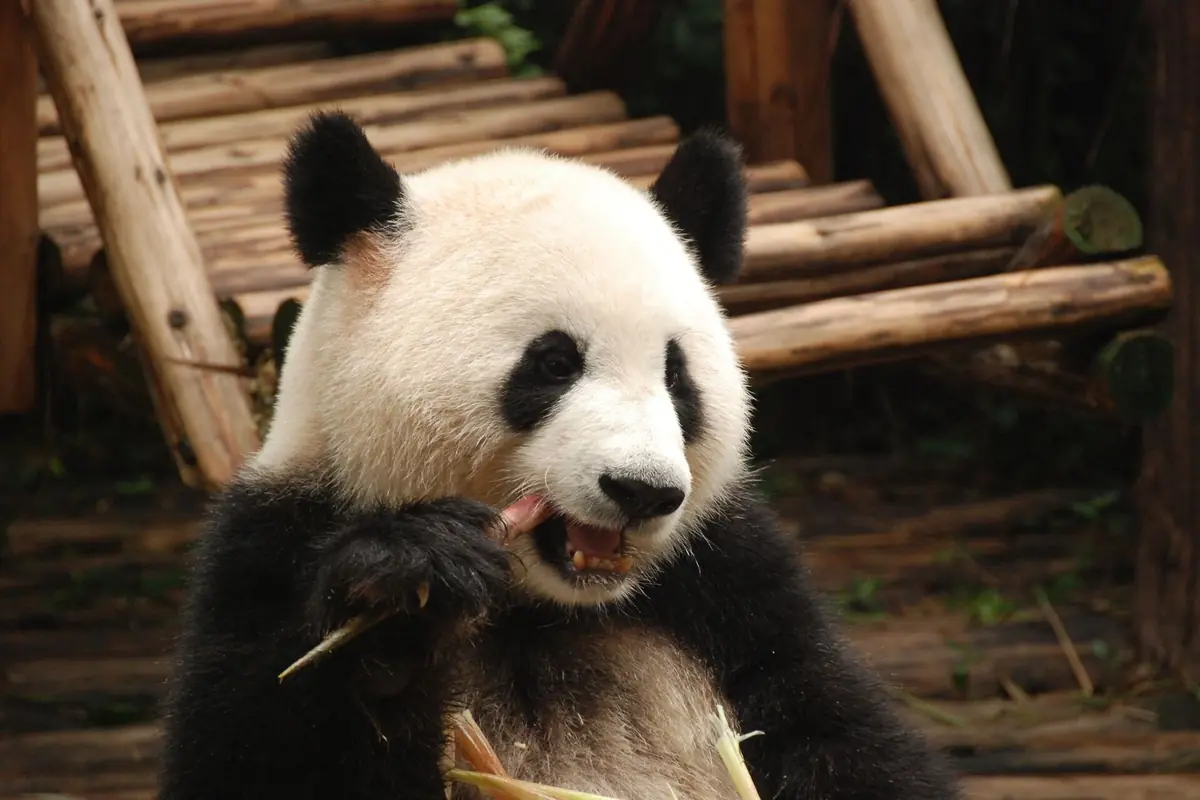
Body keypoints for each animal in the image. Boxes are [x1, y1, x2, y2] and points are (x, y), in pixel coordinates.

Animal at [158, 110, 961, 800]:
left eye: (677, 375)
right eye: (552, 363)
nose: (642, 490)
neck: (541, 610)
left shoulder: (732, 588)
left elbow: (841, 735)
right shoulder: (271, 544)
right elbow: (253, 746)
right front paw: (398, 596)